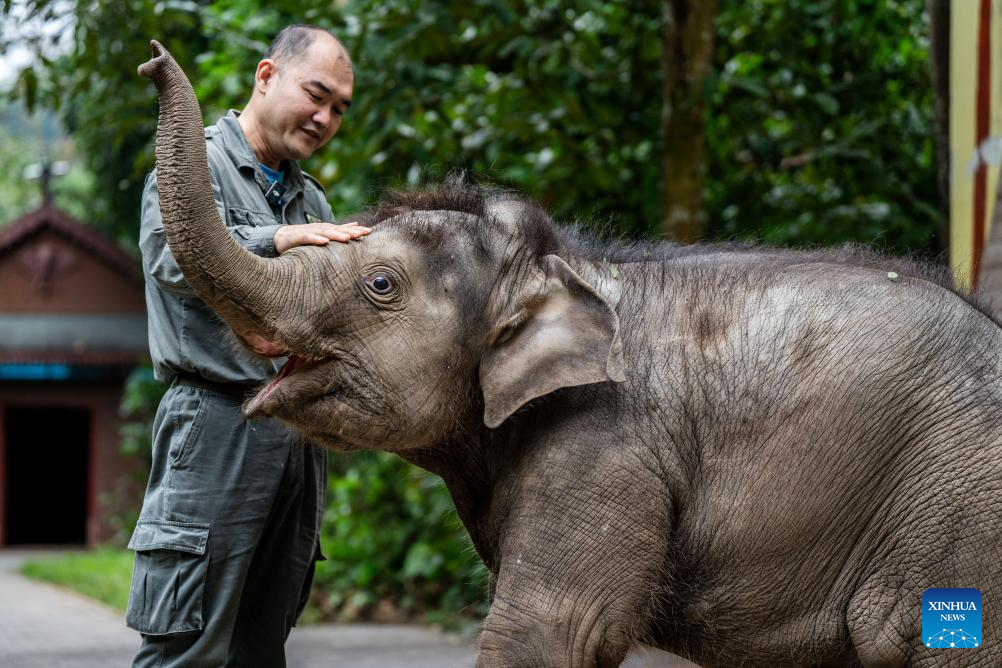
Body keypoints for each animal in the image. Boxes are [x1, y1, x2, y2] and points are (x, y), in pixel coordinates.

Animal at [138, 41, 1001, 667]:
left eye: (380, 283)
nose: (150, 58)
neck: (559, 264)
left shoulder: (608, 450)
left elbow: (549, 632)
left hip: (960, 523)